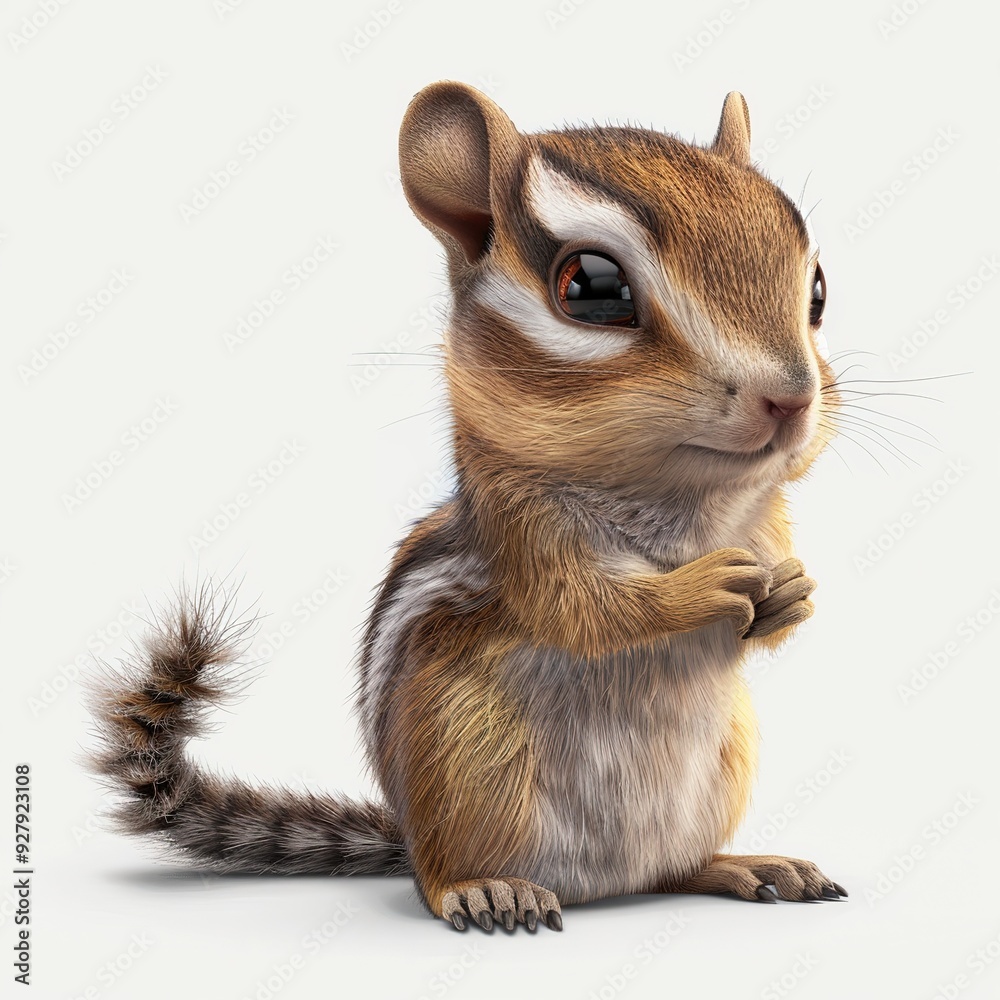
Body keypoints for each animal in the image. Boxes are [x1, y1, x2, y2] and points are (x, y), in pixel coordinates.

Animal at [88, 82, 846, 933]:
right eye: (593, 288)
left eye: (818, 289)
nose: (791, 399)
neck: (684, 501)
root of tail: (602, 887)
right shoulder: (522, 539)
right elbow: (587, 609)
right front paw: (704, 587)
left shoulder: (767, 522)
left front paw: (792, 590)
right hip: (465, 757)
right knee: (441, 879)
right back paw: (486, 888)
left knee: (674, 869)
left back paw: (746, 865)